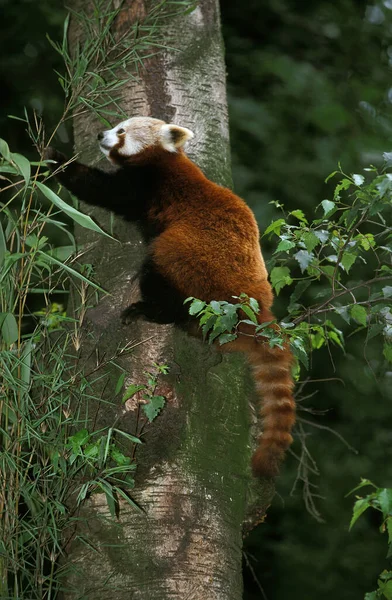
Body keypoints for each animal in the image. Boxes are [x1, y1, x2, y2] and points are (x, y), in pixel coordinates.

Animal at [46, 117, 296, 478]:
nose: (100, 135)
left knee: (161, 267)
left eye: (121, 132)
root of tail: (257, 307)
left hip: (190, 259)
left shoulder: (146, 185)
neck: (163, 158)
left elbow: (101, 189)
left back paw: (148, 310)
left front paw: (54, 158)